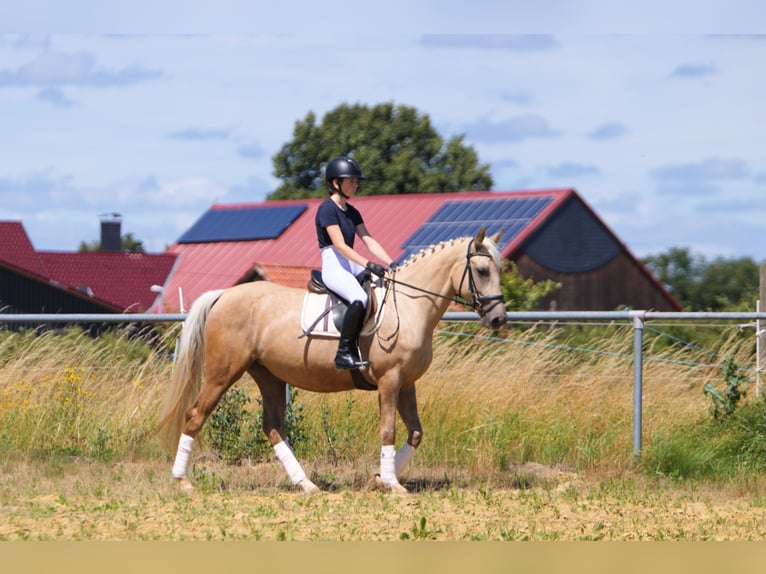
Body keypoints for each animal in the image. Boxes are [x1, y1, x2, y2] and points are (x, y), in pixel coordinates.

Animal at [158, 228, 508, 496]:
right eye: (481, 271)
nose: (498, 319)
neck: (409, 307)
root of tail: (224, 294)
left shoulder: (407, 383)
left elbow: (416, 433)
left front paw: (380, 478)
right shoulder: (390, 380)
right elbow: (389, 431)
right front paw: (392, 484)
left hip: (269, 375)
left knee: (273, 427)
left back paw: (306, 484)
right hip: (223, 373)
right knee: (195, 416)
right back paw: (183, 481)